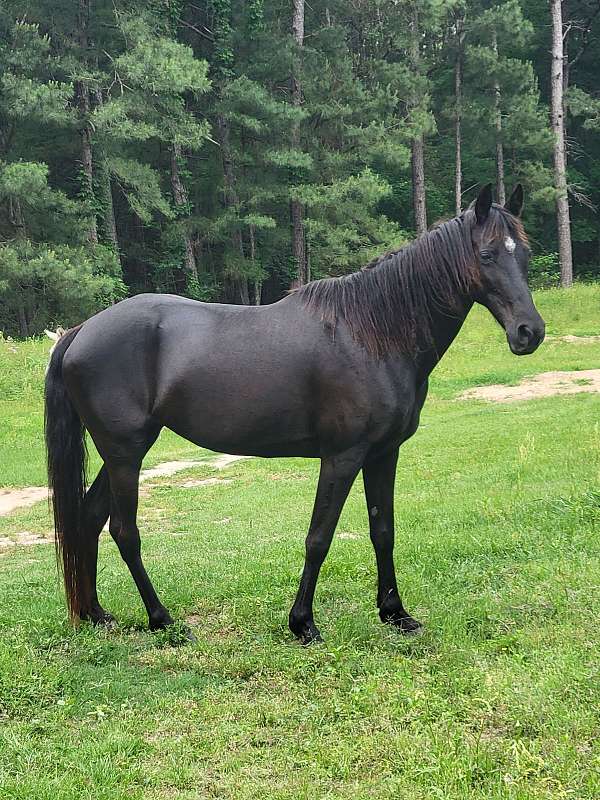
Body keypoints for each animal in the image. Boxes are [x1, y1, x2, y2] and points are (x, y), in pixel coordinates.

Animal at [45, 186, 544, 644]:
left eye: (525, 252)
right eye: (486, 254)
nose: (530, 332)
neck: (372, 335)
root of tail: (81, 330)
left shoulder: (384, 454)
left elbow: (383, 530)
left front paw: (396, 614)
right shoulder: (343, 456)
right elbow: (319, 537)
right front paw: (303, 623)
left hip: (120, 455)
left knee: (89, 518)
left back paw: (95, 614)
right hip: (126, 453)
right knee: (124, 531)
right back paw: (162, 619)